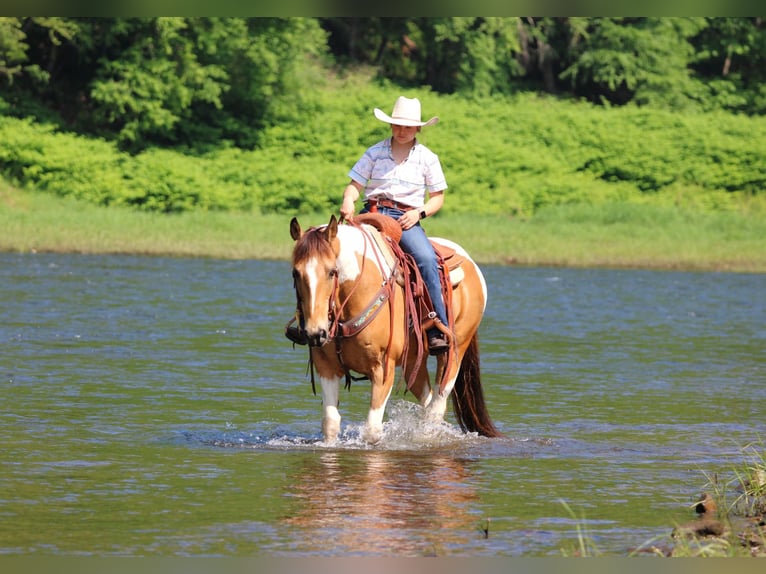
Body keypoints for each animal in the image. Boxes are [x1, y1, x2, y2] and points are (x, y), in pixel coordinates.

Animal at [288, 213, 501, 444]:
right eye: (295, 273)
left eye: (332, 272)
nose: (315, 333)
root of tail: (469, 260)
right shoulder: (326, 366)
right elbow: (330, 424)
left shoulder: (383, 367)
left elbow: (372, 430)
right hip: (414, 362)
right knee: (427, 402)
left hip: (454, 351)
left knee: (436, 406)